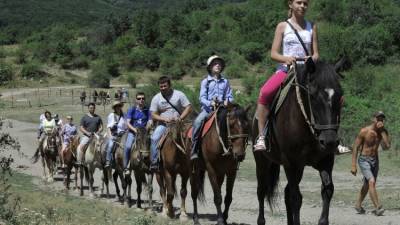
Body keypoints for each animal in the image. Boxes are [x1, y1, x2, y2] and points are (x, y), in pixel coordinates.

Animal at [253, 59, 346, 225]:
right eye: (313, 96)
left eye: (340, 97)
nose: (329, 141)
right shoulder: (290, 163)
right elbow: (295, 198)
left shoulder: (326, 161)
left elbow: (327, 190)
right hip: (262, 162)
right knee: (262, 191)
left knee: (286, 192)